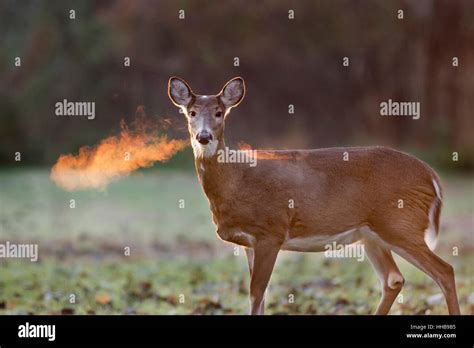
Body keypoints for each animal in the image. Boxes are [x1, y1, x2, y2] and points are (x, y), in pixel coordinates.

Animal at [167, 76, 460, 316]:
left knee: (444, 270)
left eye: (219, 112)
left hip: (400, 223)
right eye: (192, 112)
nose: (204, 137)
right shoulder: (250, 242)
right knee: (393, 279)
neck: (236, 180)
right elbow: (259, 296)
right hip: (372, 234)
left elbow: (257, 293)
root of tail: (432, 177)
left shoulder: (271, 231)